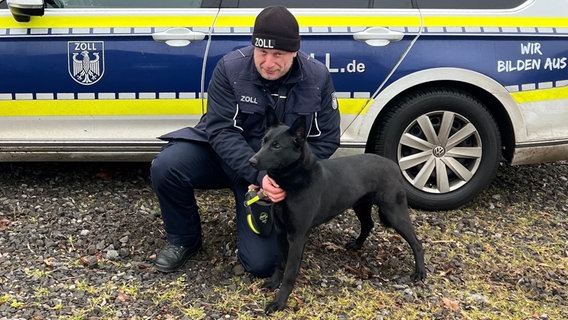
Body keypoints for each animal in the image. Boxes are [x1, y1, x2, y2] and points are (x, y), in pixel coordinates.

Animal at [248, 109, 426, 314]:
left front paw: (279, 302)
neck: (293, 180)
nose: (251, 161)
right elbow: (280, 262)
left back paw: (420, 272)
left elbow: (290, 273)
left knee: (416, 243)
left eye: (276, 146)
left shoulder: (297, 237)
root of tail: (394, 165)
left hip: (394, 213)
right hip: (360, 205)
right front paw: (274, 282)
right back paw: (357, 244)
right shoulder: (280, 232)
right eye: (263, 141)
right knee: (368, 224)